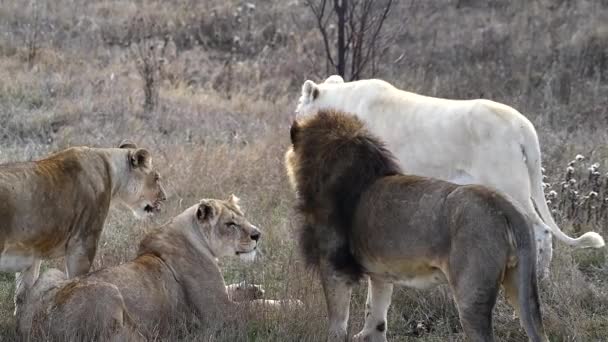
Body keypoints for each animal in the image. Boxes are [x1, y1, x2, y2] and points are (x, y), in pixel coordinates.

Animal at [0, 140, 167, 312]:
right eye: (157, 178)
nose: (165, 198)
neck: (110, 168)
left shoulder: (31, 254)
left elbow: (22, 298)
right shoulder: (83, 242)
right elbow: (77, 282)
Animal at [17, 195, 302, 340]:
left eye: (243, 217)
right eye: (231, 224)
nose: (257, 235)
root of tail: (38, 327)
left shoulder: (221, 296)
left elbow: (236, 289)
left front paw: (254, 287)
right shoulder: (220, 313)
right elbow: (260, 308)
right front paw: (293, 304)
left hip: (51, 275)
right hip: (108, 291)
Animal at [288, 109, 548, 342]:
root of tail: (505, 205)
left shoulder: (334, 264)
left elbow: (337, 323)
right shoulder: (380, 272)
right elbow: (376, 316)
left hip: (472, 295)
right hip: (522, 286)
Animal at [294, 75, 604, 278]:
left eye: (299, 105)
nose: (293, 125)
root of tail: (523, 125)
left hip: (509, 182)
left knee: (541, 230)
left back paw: (538, 277)